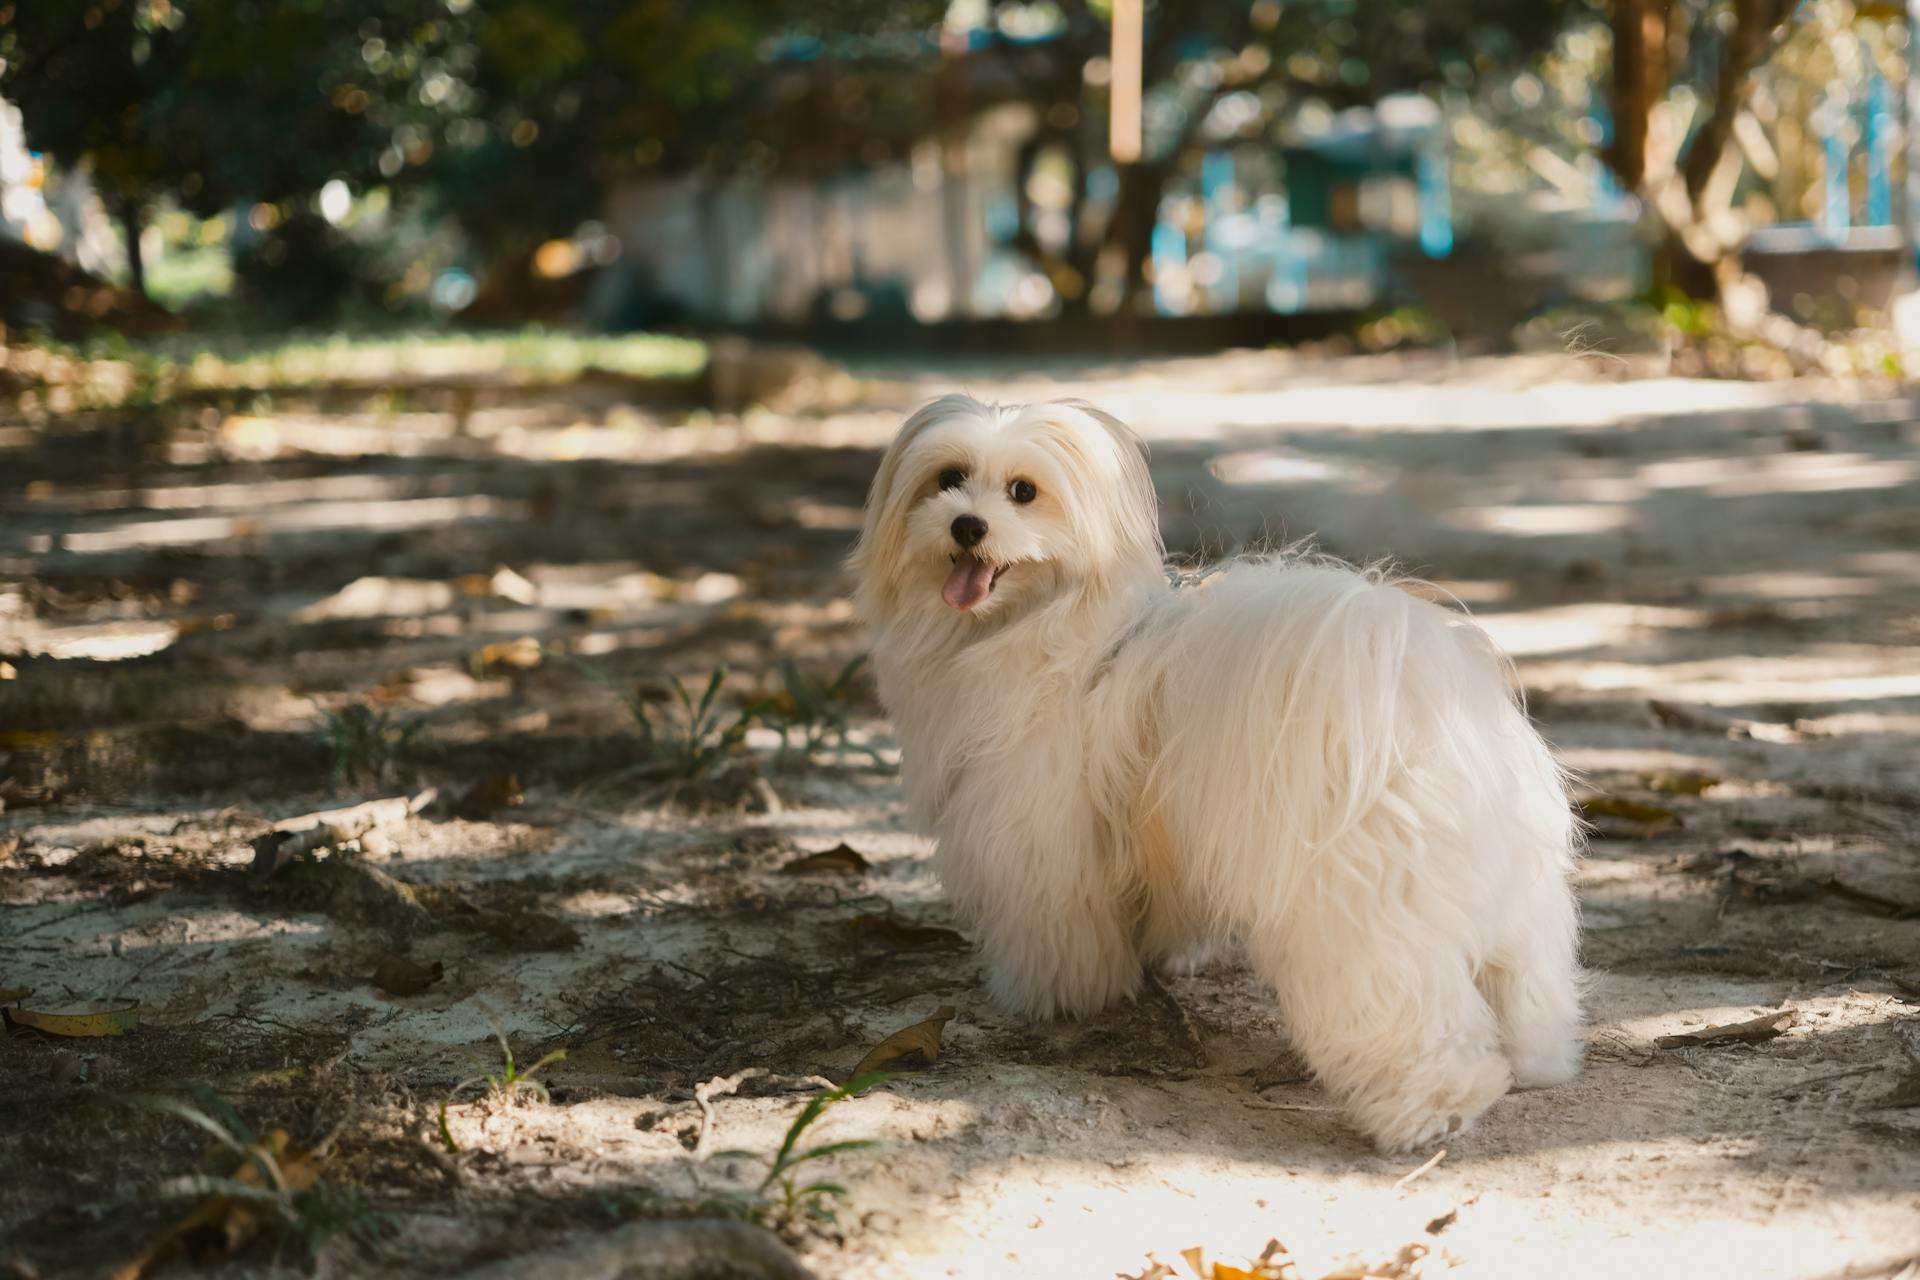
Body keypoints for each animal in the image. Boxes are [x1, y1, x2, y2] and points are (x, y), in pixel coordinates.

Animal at [856, 397, 1589, 1151]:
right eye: (948, 477)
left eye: (1023, 491)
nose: (967, 525)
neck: (1037, 625)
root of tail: (1414, 687)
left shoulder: (1036, 841)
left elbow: (1056, 930)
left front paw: (1053, 998)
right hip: (1516, 895)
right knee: (1525, 978)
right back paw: (1539, 1059)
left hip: (1366, 916)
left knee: (1408, 1011)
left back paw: (1435, 1109)